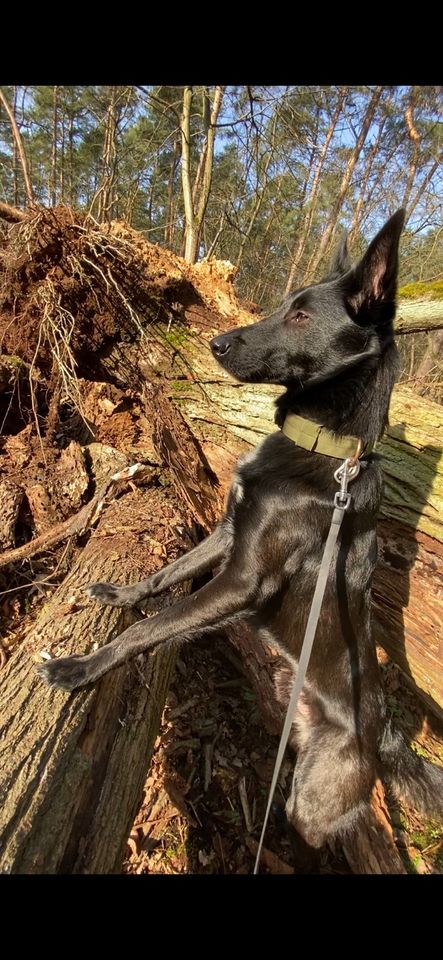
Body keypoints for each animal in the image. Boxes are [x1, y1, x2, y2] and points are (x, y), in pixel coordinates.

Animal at [39, 210, 443, 848]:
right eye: (283, 305)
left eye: (301, 316)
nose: (215, 342)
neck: (324, 452)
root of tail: (384, 735)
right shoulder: (230, 531)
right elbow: (164, 577)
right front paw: (121, 593)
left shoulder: (244, 581)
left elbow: (150, 628)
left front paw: (81, 668)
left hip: (318, 797)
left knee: (332, 830)